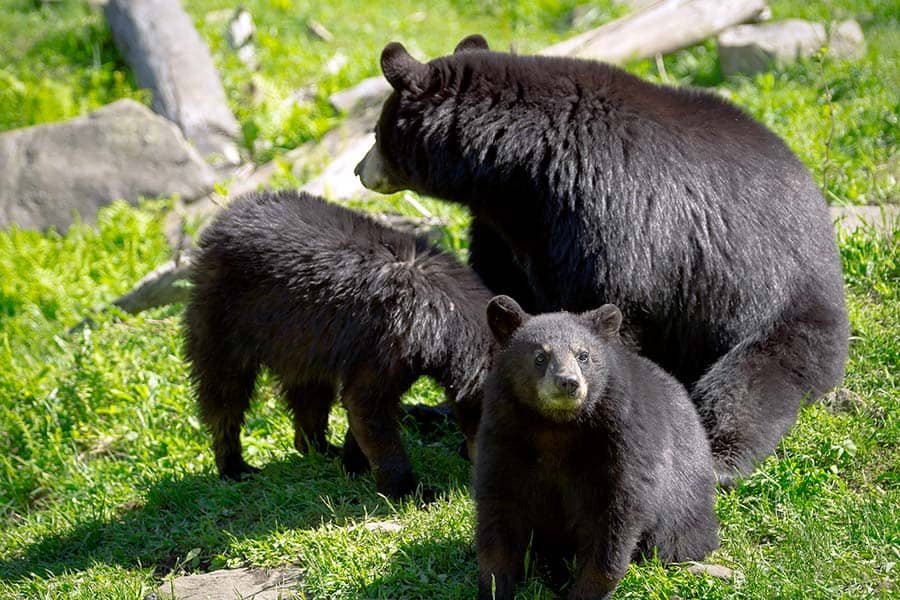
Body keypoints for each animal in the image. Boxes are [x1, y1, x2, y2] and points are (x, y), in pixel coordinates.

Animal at [184, 191, 492, 496]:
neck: (445, 313)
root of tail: (225, 216)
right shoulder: (392, 339)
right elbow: (366, 402)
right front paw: (409, 490)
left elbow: (363, 408)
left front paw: (353, 463)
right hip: (223, 315)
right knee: (225, 391)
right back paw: (234, 466)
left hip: (301, 341)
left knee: (311, 394)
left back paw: (319, 448)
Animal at [356, 34, 848, 488]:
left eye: (376, 134)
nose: (359, 170)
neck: (520, 170)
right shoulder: (510, 227)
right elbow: (501, 299)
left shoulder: (606, 210)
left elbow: (604, 306)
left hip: (776, 313)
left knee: (746, 388)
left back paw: (720, 458)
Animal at [478, 296, 716, 600]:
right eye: (540, 357)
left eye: (583, 355)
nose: (568, 383)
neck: (557, 426)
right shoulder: (504, 435)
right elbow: (500, 506)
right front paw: (496, 585)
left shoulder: (620, 442)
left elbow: (614, 515)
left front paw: (585, 591)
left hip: (684, 503)